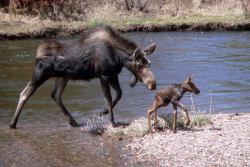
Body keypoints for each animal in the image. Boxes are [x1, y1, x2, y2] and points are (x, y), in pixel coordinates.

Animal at [9, 25, 156, 129]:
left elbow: (119, 94)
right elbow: (109, 98)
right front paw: (112, 121)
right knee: (24, 93)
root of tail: (37, 53)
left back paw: (73, 121)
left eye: (149, 63)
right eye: (139, 65)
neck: (119, 58)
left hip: (63, 77)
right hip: (41, 74)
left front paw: (102, 112)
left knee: (55, 94)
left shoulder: (113, 74)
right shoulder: (103, 75)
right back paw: (13, 123)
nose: (152, 84)